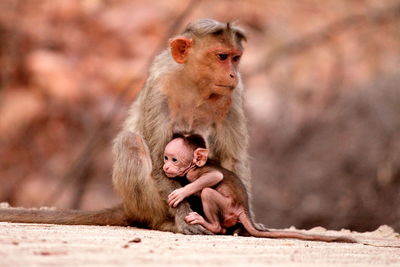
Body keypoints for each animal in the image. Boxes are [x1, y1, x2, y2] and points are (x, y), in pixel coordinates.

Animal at [0, 18, 250, 234]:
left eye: (236, 58)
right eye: (221, 56)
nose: (233, 74)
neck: (194, 84)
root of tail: (128, 207)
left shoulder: (232, 96)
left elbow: (231, 159)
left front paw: (241, 221)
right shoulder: (160, 88)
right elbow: (158, 159)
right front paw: (182, 216)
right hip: (144, 204)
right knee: (130, 142)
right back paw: (162, 221)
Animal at [162, 134, 356, 243]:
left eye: (174, 159)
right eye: (165, 157)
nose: (166, 166)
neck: (193, 166)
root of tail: (243, 209)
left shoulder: (195, 173)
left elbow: (214, 177)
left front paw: (180, 193)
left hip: (228, 207)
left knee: (209, 195)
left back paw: (208, 223)